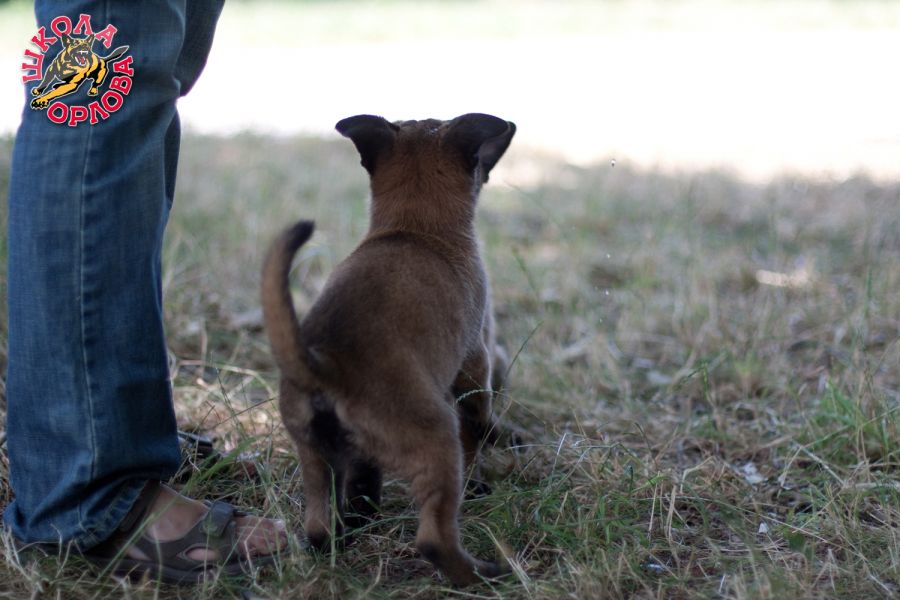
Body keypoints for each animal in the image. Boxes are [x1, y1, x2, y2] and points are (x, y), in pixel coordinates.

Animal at [261, 113, 515, 586]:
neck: (413, 228)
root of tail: (323, 363)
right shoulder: (474, 365)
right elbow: (478, 423)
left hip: (315, 458)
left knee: (320, 525)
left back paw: (344, 537)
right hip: (437, 437)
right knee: (434, 537)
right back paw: (482, 574)